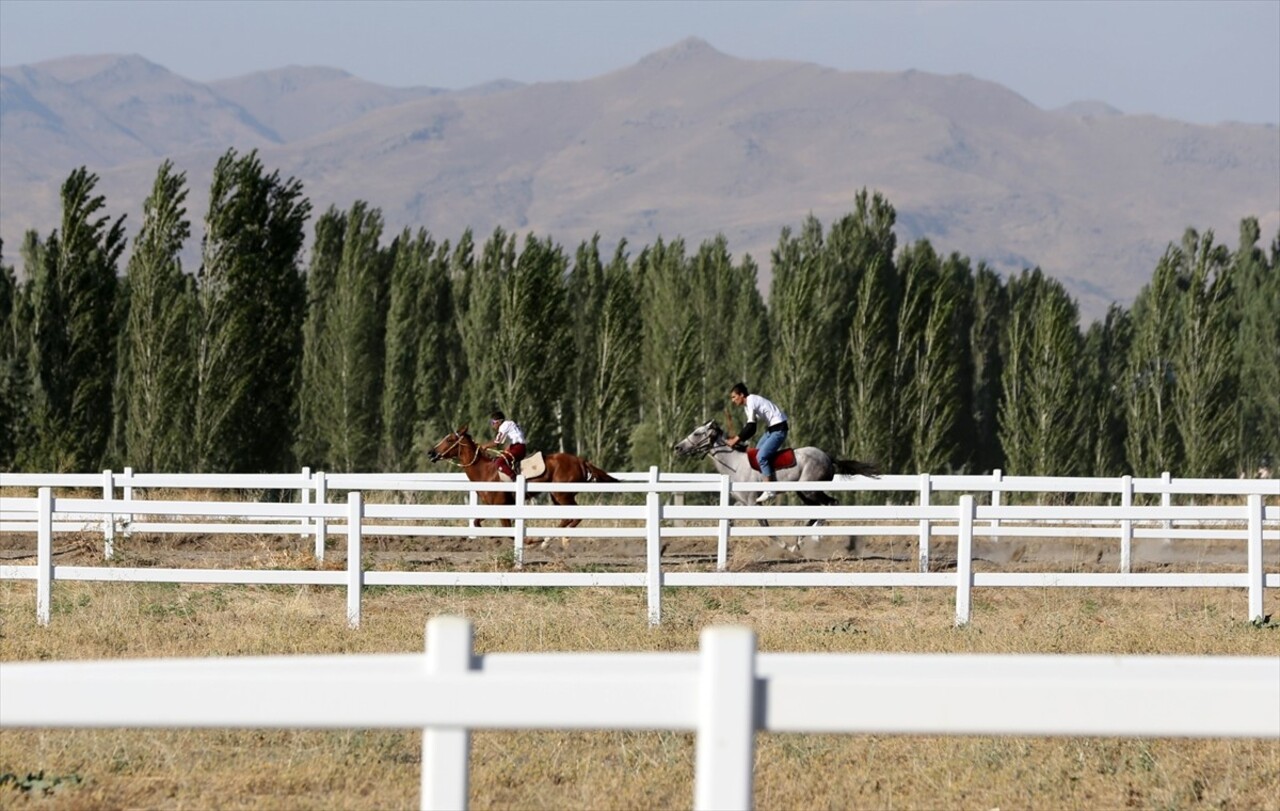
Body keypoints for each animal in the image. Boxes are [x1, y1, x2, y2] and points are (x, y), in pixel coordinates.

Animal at [430, 422, 619, 529]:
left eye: (449, 439)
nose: (431, 453)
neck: (485, 471)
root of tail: (581, 461)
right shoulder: (492, 506)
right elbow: (477, 522)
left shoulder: (502, 506)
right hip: (557, 497)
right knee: (568, 518)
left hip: (562, 495)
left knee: (575, 517)